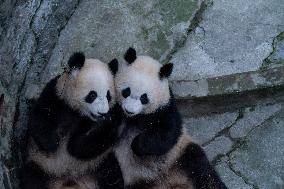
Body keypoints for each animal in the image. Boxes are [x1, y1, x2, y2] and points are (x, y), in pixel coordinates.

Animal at [21, 52, 123, 189]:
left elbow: (78, 146)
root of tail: (67, 181)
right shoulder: (56, 93)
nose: (103, 113)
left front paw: (110, 119)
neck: (76, 111)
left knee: (112, 175)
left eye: (108, 95)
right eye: (92, 95)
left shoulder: (86, 123)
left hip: (98, 164)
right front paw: (53, 143)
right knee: (31, 178)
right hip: (40, 164)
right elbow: (39, 118)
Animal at [114, 47, 227, 189]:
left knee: (201, 167)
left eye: (144, 98)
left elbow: (167, 134)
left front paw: (136, 144)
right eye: (126, 91)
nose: (129, 110)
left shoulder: (164, 109)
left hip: (180, 155)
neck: (132, 119)